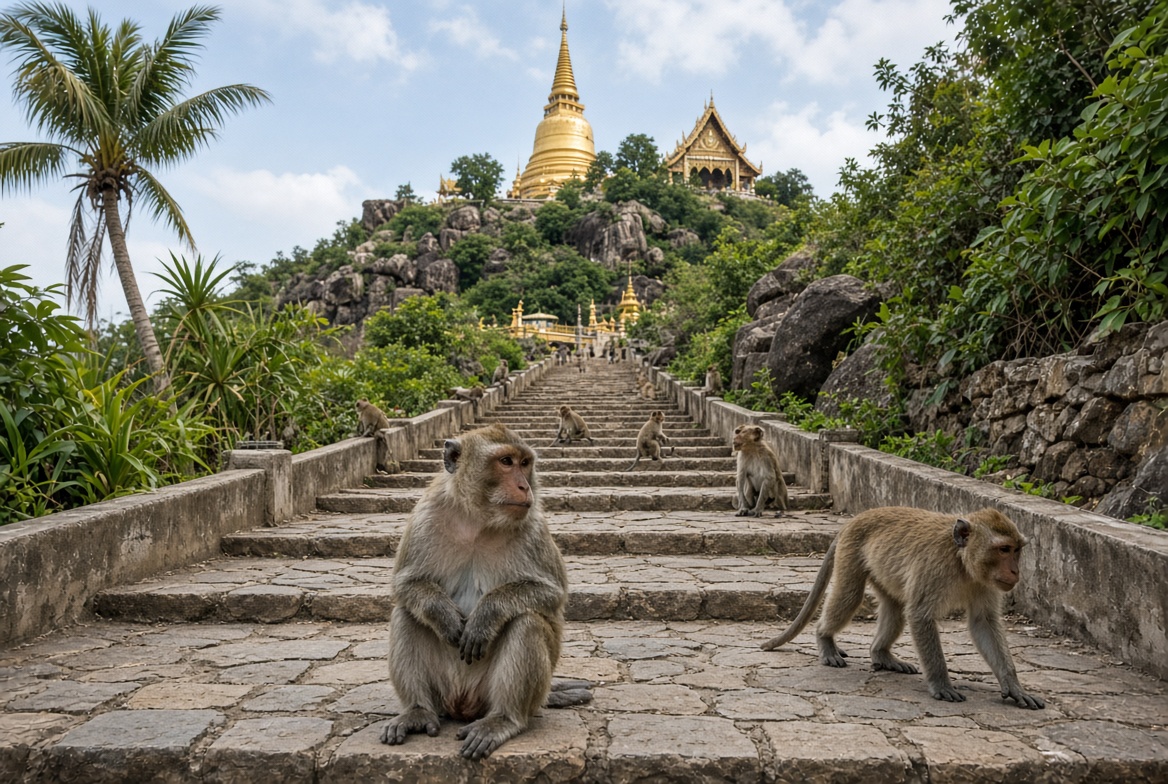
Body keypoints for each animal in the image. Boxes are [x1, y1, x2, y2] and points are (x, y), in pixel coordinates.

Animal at [382, 424, 591, 759]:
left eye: (525, 463)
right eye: (506, 461)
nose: (524, 486)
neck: (477, 520)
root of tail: (463, 705)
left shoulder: (533, 526)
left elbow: (551, 594)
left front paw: (485, 617)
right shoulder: (425, 516)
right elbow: (406, 584)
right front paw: (444, 616)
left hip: (499, 696)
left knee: (527, 622)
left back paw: (503, 720)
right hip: (443, 692)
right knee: (405, 614)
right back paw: (417, 711)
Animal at [760, 506, 1045, 710]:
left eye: (1016, 550)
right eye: (1003, 549)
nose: (1015, 571)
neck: (961, 560)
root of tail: (855, 519)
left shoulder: (984, 584)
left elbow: (983, 622)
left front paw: (1014, 686)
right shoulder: (934, 568)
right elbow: (920, 616)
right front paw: (941, 683)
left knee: (894, 608)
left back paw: (881, 654)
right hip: (851, 552)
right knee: (849, 596)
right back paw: (825, 639)